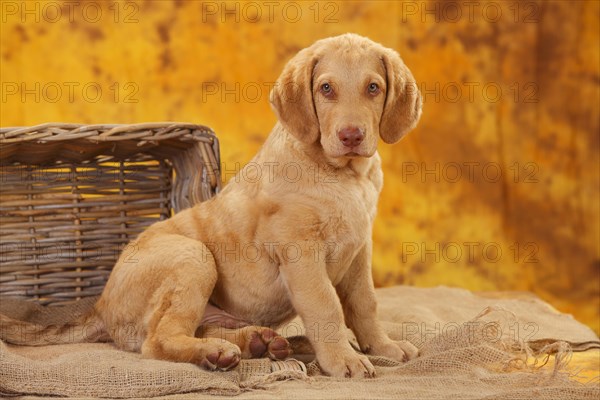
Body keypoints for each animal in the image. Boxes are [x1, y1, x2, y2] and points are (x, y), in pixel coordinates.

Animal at [0, 33, 422, 378]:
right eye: (326, 88)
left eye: (373, 87)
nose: (351, 136)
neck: (345, 175)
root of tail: (100, 305)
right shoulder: (301, 252)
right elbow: (327, 307)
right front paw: (344, 361)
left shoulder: (358, 250)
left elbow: (364, 304)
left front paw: (383, 347)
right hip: (193, 257)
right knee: (157, 341)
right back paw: (216, 353)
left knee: (202, 327)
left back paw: (262, 343)